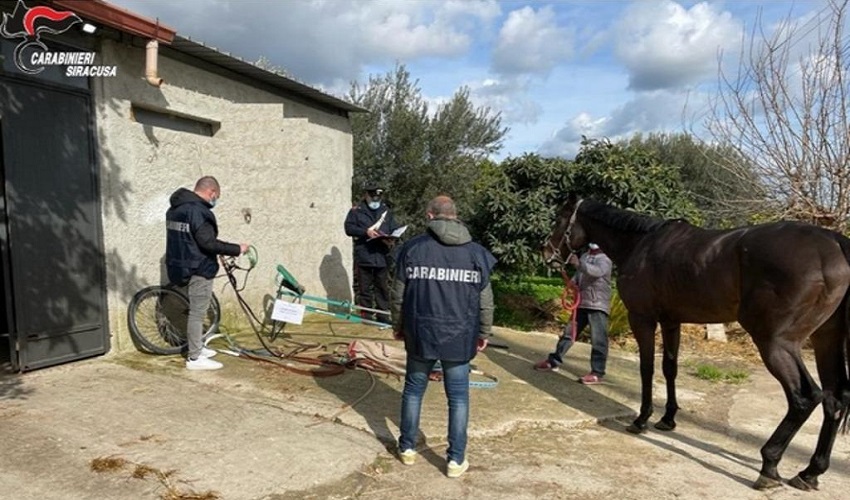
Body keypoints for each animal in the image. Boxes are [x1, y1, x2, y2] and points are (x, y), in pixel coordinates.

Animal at [544, 195, 848, 488]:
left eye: (559, 218)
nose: (547, 253)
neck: (641, 243)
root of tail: (834, 243)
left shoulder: (642, 319)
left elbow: (646, 369)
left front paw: (642, 419)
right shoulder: (671, 321)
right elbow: (669, 368)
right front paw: (667, 419)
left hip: (776, 343)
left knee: (805, 397)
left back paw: (769, 466)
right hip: (825, 340)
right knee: (835, 399)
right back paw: (810, 473)